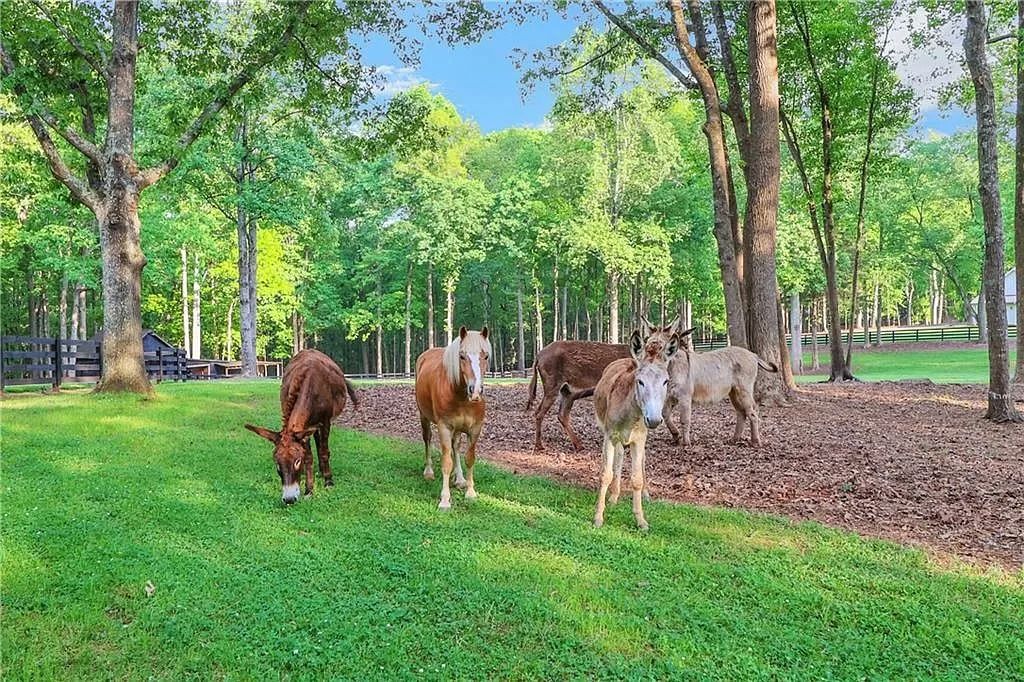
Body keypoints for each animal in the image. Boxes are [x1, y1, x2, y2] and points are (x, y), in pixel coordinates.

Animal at [411, 327, 491, 507]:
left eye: (486, 356)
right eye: (461, 356)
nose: (475, 391)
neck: (460, 396)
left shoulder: (475, 429)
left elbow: (469, 458)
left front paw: (470, 491)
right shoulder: (445, 427)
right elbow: (446, 462)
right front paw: (445, 500)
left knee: (456, 446)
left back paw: (460, 479)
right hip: (424, 417)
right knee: (427, 439)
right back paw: (428, 472)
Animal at [593, 325, 679, 532]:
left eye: (665, 381)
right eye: (640, 381)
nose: (654, 420)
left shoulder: (639, 439)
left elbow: (636, 478)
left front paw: (641, 521)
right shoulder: (609, 436)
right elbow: (606, 474)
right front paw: (598, 517)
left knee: (636, 461)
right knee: (616, 460)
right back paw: (613, 496)